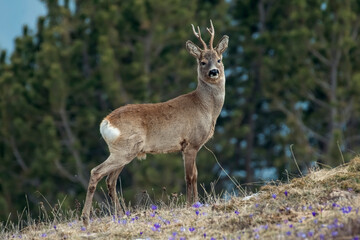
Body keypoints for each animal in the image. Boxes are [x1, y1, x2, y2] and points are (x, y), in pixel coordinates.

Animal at [81, 20, 228, 225]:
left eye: (219, 59)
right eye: (202, 62)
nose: (214, 72)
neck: (205, 107)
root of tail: (105, 122)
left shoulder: (189, 147)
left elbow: (195, 175)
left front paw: (195, 203)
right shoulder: (190, 143)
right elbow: (190, 176)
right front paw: (192, 205)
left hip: (125, 151)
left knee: (110, 180)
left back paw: (121, 214)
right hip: (125, 150)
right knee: (96, 172)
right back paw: (85, 218)